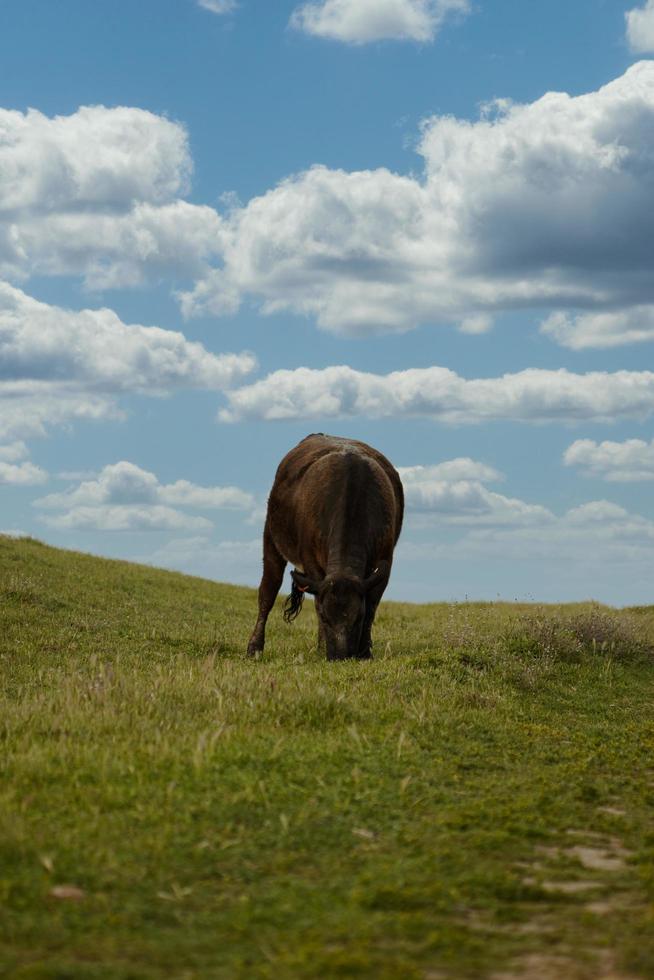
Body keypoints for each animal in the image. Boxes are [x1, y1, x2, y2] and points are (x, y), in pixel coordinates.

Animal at [247, 434, 404, 660]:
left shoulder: (385, 561)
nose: (340, 657)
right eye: (324, 615)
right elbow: (314, 601)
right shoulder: (310, 560)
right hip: (271, 537)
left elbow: (373, 606)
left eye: (358, 616)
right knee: (268, 591)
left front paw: (365, 651)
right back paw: (255, 648)